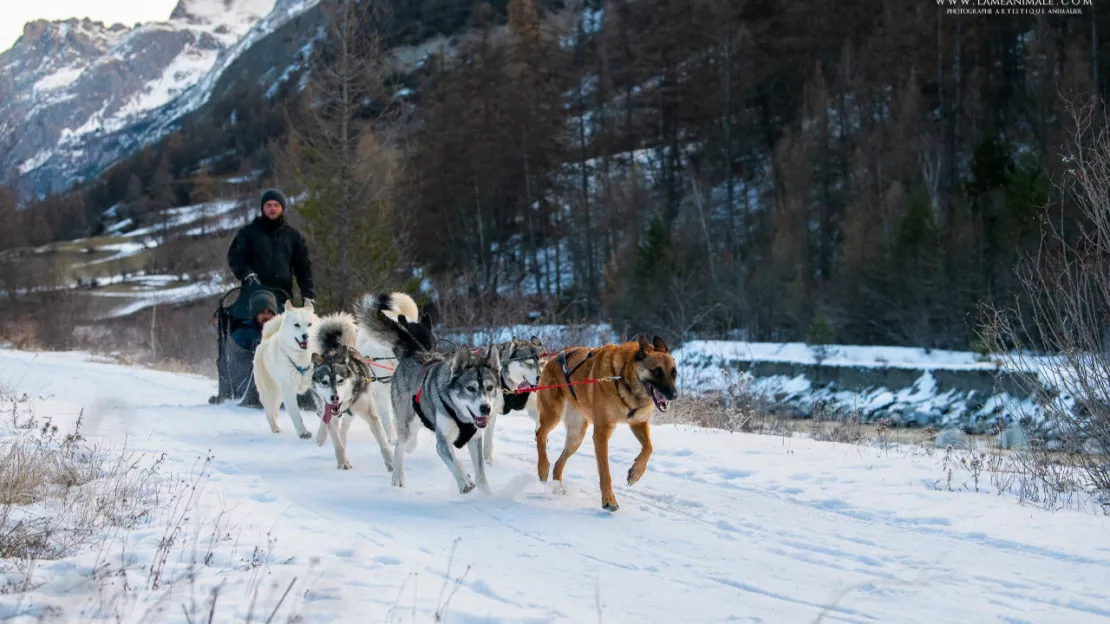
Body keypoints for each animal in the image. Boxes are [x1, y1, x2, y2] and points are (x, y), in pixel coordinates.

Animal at [254, 297, 319, 435]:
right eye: (297, 325)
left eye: (309, 324)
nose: (306, 336)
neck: (303, 358)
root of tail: (265, 339)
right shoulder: (289, 390)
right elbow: (296, 415)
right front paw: (303, 433)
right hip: (271, 392)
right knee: (269, 412)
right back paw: (275, 429)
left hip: (279, 394)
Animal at [535, 333, 679, 508]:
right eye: (656, 372)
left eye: (674, 373)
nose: (673, 395)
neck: (624, 377)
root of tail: (553, 359)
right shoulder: (602, 434)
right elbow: (605, 472)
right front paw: (609, 500)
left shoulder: (638, 423)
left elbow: (649, 448)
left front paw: (636, 472)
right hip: (553, 414)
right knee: (540, 434)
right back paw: (543, 468)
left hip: (576, 435)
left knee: (558, 464)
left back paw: (557, 487)